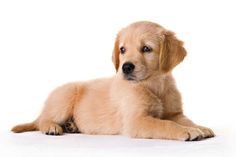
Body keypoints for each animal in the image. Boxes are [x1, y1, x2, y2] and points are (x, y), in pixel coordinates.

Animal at [12, 21, 215, 141]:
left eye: (146, 49)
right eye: (122, 50)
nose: (126, 67)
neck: (154, 84)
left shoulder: (175, 113)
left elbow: (186, 120)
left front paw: (201, 128)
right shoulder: (136, 120)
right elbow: (165, 124)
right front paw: (186, 131)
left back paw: (71, 125)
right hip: (65, 95)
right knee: (43, 120)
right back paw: (52, 127)